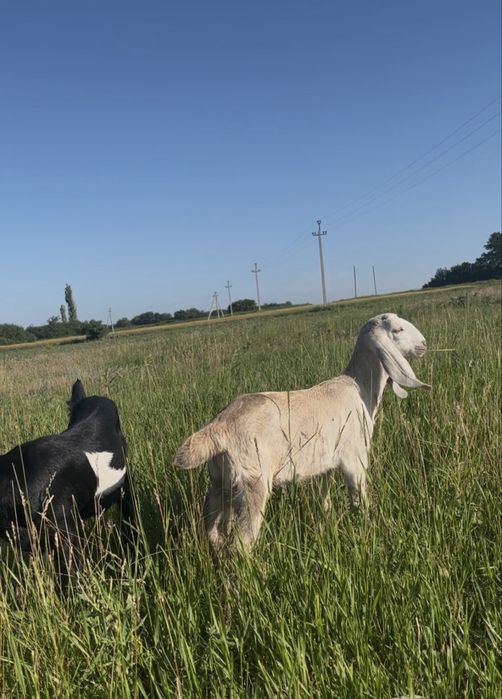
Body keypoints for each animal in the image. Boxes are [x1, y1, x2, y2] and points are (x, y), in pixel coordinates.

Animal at [174, 313, 430, 550]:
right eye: (397, 329)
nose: (424, 344)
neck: (361, 388)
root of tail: (220, 427)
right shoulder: (353, 459)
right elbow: (358, 499)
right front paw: (367, 526)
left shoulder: (326, 463)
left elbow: (324, 496)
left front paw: (326, 519)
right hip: (252, 481)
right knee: (241, 542)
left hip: (221, 483)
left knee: (214, 532)